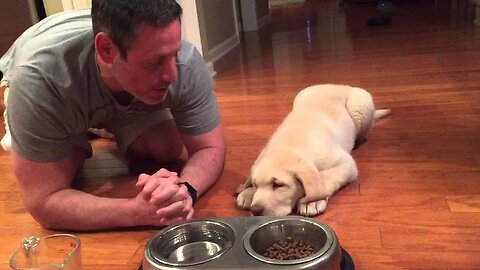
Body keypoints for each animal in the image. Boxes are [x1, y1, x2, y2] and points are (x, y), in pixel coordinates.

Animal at [236, 84, 390, 217]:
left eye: (278, 185)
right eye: (256, 185)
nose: (255, 210)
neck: (290, 145)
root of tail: (337, 84)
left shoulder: (346, 163)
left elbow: (325, 177)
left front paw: (312, 201)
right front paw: (247, 192)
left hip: (360, 104)